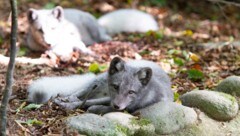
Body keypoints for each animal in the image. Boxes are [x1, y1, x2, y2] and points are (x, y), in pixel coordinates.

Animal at [27, 56, 172, 113]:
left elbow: (95, 105)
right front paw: (67, 103)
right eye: (116, 87)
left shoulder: (128, 108)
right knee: (81, 91)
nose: (117, 105)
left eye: (131, 92)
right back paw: (67, 97)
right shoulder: (111, 98)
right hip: (98, 82)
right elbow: (86, 102)